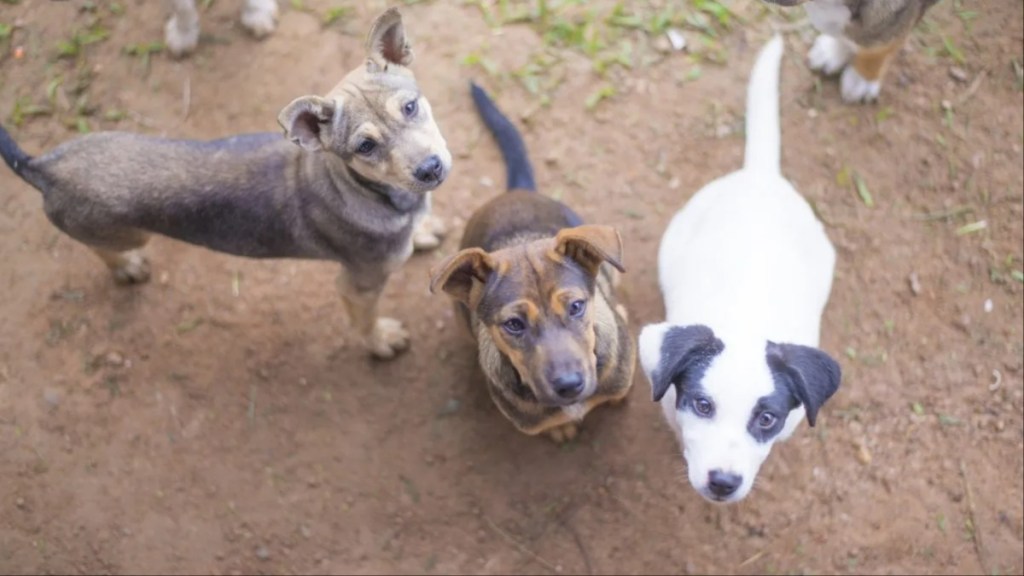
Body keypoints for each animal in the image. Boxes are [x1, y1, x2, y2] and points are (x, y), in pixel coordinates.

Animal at [0, 6, 450, 358]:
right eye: (365, 147)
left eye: (410, 107)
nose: (430, 169)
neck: (373, 193)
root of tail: (44, 165)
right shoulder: (359, 284)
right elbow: (363, 321)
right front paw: (380, 341)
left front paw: (423, 230)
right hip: (124, 233)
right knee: (103, 249)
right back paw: (126, 266)